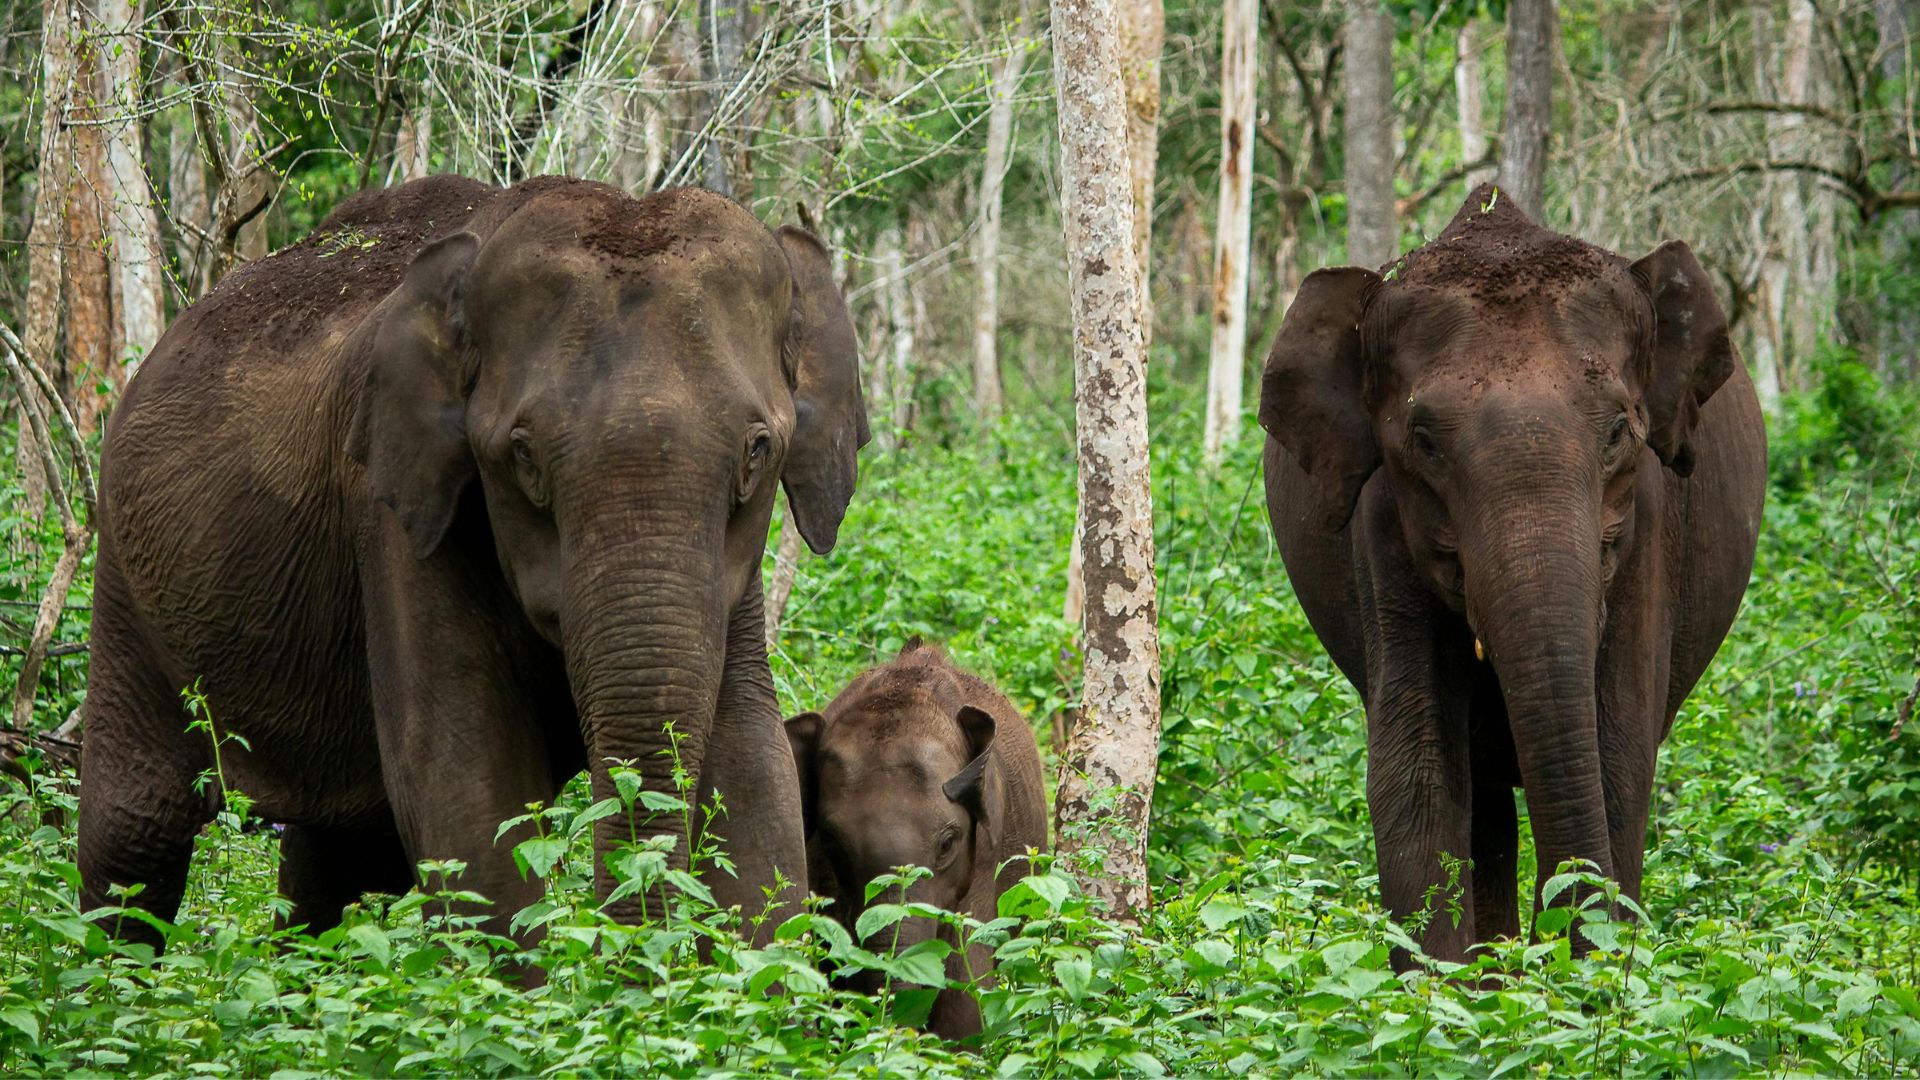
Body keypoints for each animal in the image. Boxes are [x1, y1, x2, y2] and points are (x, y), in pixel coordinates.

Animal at [77, 174, 869, 947]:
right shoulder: (394, 510)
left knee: (337, 855)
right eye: (522, 455)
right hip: (123, 571)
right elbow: (461, 776)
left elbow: (752, 767)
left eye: (758, 452)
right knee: (135, 832)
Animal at [1258, 184, 1766, 966]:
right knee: (1487, 803)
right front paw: (1445, 990)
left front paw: (1587, 981)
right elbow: (1415, 768)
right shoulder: (1380, 524)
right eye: (1423, 441)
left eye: (1618, 431)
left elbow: (1617, 756)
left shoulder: (1650, 529)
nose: (1556, 946)